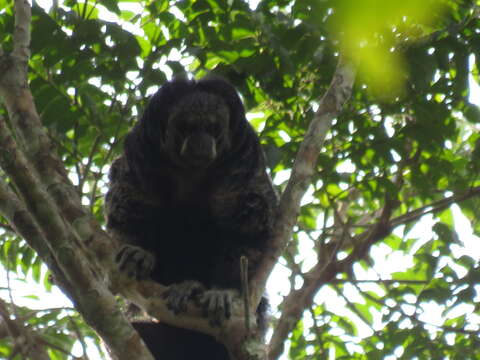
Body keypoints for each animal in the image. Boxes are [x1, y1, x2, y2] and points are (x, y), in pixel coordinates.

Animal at [105, 75, 278, 358]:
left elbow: (249, 220)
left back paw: (194, 288)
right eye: (188, 127)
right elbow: (128, 205)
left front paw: (224, 290)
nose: (201, 141)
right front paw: (137, 251)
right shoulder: (140, 147)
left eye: (212, 128)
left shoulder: (245, 155)